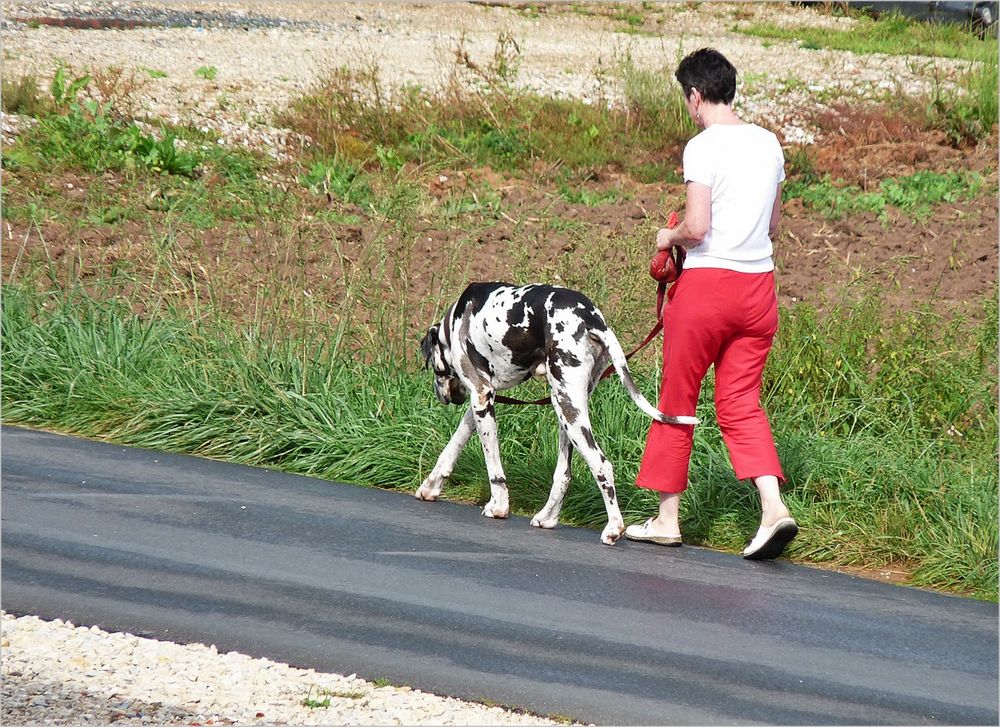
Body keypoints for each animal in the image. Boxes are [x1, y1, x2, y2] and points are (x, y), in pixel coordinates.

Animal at [416, 282, 696, 544]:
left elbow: (492, 464)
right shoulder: (481, 400)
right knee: (564, 474)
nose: (442, 395)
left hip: (566, 406)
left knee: (601, 464)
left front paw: (498, 506)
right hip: (567, 408)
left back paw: (613, 529)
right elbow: (452, 447)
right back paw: (547, 517)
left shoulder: (480, 395)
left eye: (433, 367)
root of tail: (592, 320)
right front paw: (430, 486)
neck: (454, 324)